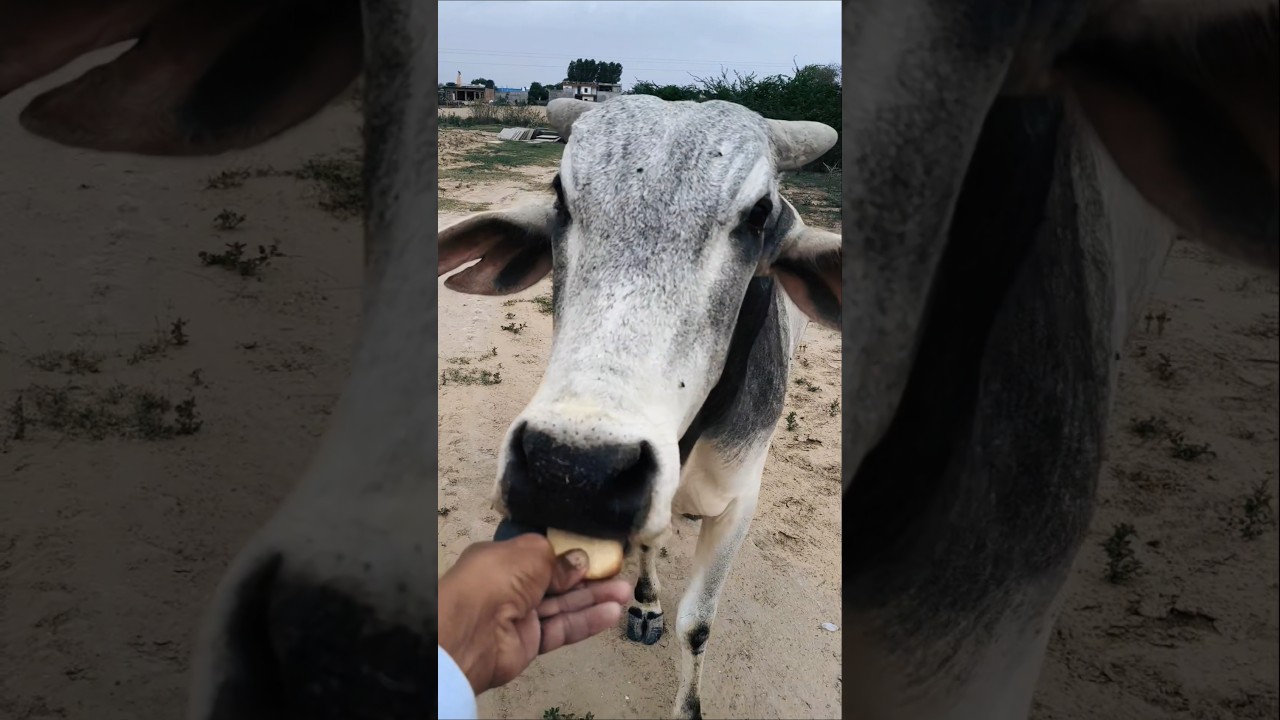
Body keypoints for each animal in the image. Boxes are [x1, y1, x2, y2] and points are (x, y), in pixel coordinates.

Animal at [437, 94, 842, 719]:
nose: (572, 472)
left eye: (758, 216)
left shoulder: (738, 504)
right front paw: (647, 602)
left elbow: (697, 625)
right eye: (560, 196)